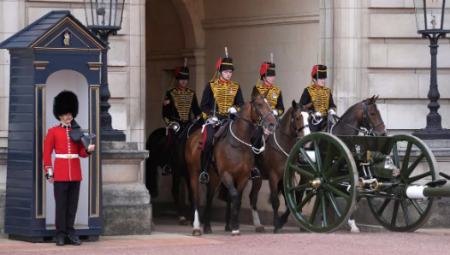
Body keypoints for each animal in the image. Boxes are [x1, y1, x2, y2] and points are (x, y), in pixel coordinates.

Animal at [184, 86, 278, 236]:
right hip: (194, 173)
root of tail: (192, 136)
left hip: (214, 176)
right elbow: (233, 195)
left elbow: (237, 199)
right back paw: (197, 227)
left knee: (209, 196)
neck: (238, 144)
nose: (272, 124)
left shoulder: (243, 176)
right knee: (196, 198)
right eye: (259, 104)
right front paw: (234, 226)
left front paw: (234, 226)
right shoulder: (226, 174)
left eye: (269, 103)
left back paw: (207, 226)